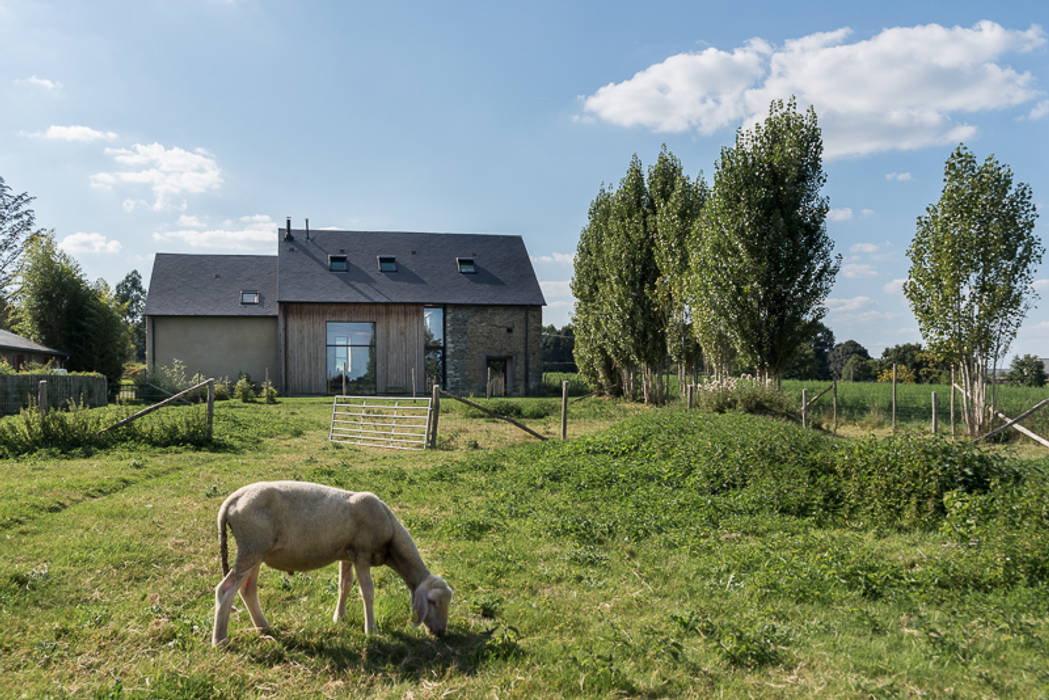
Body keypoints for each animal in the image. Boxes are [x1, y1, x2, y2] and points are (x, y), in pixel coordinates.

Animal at [211, 478, 451, 650]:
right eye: (432, 602)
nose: (441, 633)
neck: (391, 535)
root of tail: (231, 500)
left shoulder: (347, 555)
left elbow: (345, 586)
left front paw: (339, 618)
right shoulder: (362, 554)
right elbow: (367, 592)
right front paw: (371, 630)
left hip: (256, 551)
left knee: (247, 589)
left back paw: (263, 627)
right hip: (251, 547)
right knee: (225, 590)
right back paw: (220, 641)